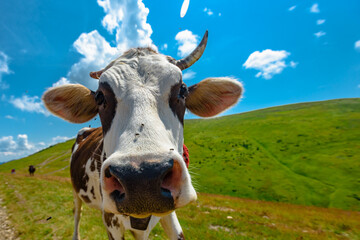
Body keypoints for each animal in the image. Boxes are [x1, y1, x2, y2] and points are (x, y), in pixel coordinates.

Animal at [43, 31, 245, 239]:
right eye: (100, 97)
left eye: (182, 90)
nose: (141, 178)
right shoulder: (110, 220)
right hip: (76, 191)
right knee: (77, 213)